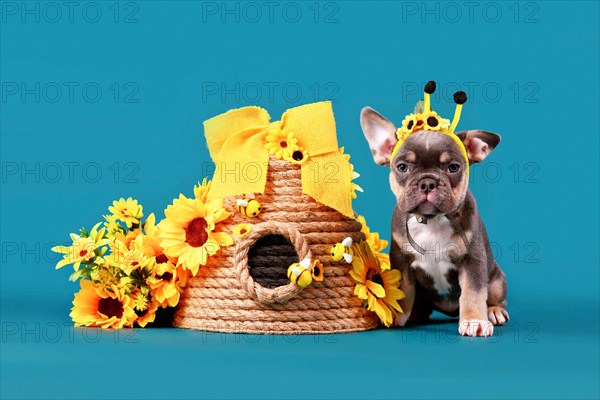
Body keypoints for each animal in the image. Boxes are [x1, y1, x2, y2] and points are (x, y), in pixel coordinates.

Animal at [360, 107, 506, 338]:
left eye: (453, 167)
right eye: (402, 167)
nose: (427, 182)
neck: (431, 220)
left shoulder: (472, 259)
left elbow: (473, 292)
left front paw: (474, 320)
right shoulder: (402, 260)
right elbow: (403, 291)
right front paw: (396, 315)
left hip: (497, 280)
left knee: (495, 298)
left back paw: (494, 311)